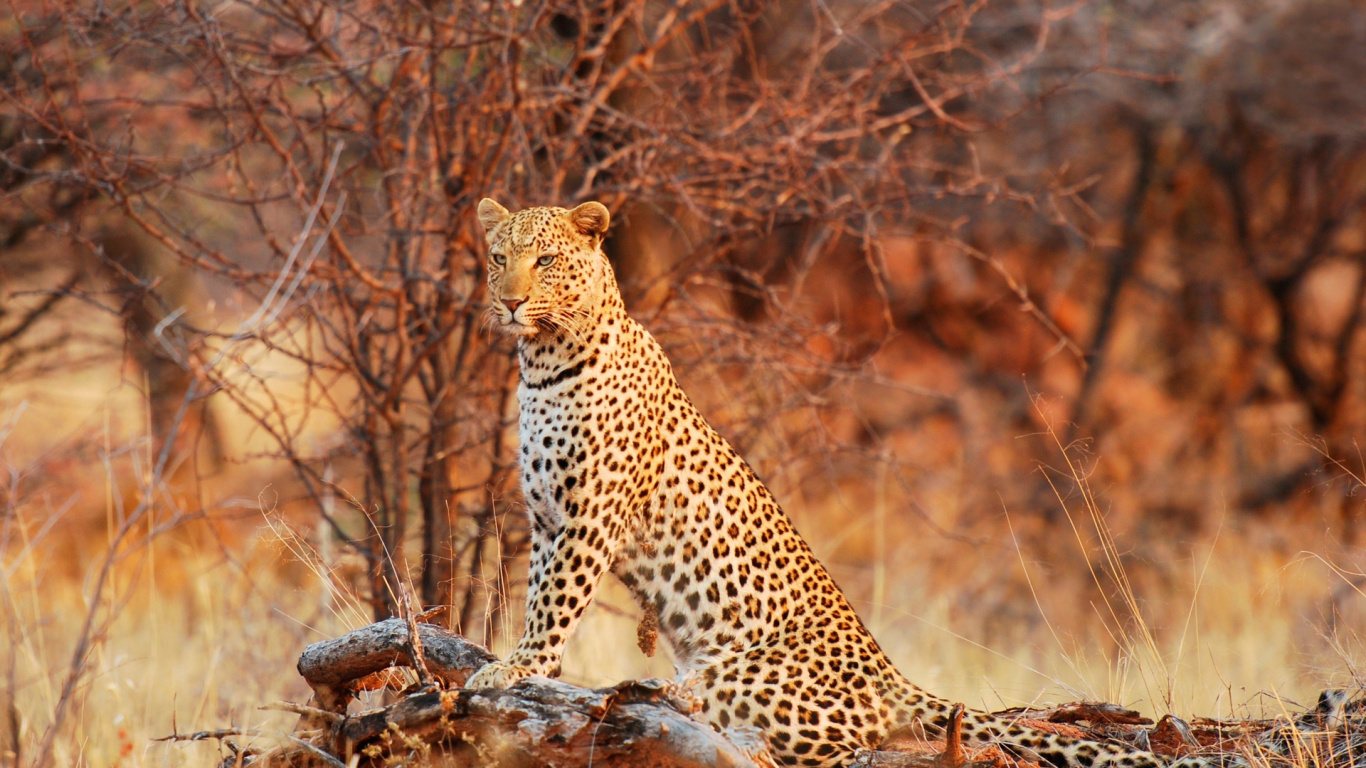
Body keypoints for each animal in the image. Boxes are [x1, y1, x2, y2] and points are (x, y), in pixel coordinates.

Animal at [463, 198, 1226, 768]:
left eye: (547, 260)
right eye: (499, 257)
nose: (510, 301)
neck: (543, 363)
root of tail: (892, 677)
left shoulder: (587, 520)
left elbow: (552, 608)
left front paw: (514, 671)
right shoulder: (546, 521)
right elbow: (537, 594)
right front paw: (520, 667)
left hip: (744, 679)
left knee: (801, 737)